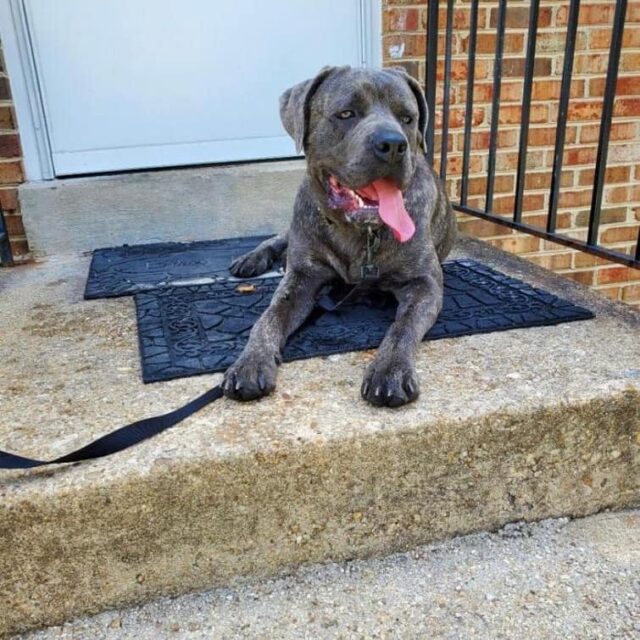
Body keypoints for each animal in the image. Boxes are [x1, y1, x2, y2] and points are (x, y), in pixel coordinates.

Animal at [222, 63, 458, 404]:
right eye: (346, 113)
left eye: (407, 118)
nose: (393, 144)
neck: (359, 232)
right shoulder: (302, 278)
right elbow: (268, 318)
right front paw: (250, 362)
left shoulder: (424, 284)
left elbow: (403, 327)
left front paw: (391, 370)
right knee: (280, 238)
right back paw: (253, 258)